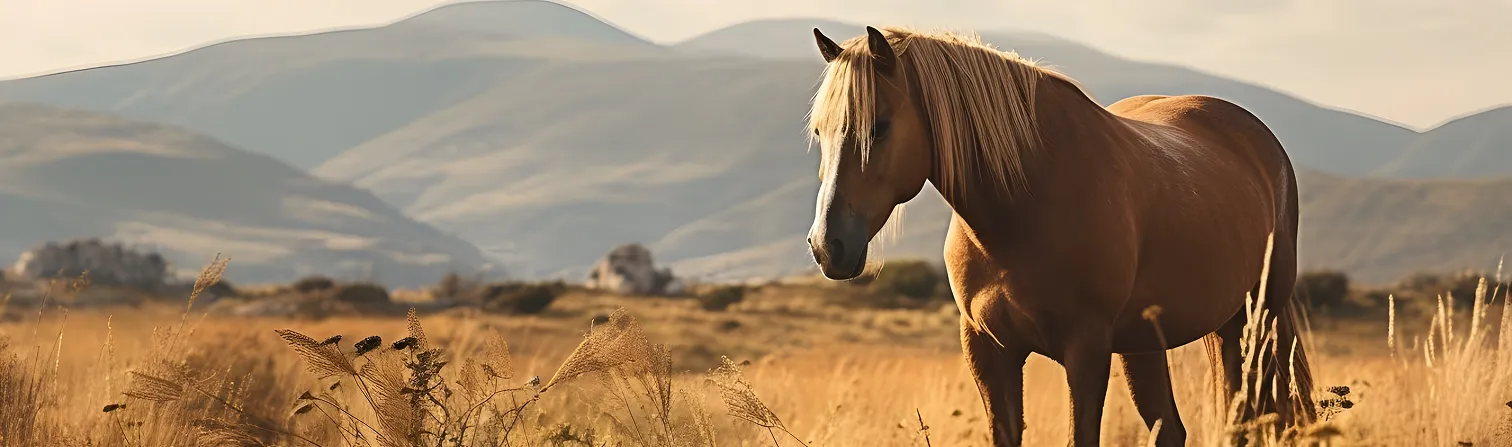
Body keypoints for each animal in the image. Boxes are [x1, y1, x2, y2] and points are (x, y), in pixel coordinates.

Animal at [800, 26, 1317, 446]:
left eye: (880, 126)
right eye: (820, 131)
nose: (828, 246)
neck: (1023, 208)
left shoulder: (1086, 351)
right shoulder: (988, 351)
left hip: (1256, 324)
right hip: (1152, 342)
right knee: (1174, 429)